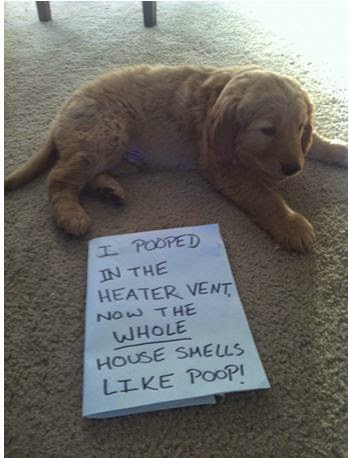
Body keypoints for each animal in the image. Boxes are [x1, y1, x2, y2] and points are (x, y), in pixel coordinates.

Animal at [4, 63, 346, 250]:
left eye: (299, 126)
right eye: (267, 130)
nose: (293, 169)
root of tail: (61, 113)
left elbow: (314, 143)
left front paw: (338, 148)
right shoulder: (222, 166)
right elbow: (265, 196)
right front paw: (292, 224)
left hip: (116, 150)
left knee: (87, 174)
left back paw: (108, 189)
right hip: (107, 131)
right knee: (60, 178)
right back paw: (71, 214)